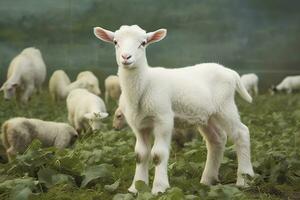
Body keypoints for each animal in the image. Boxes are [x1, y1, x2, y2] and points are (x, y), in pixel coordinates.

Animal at [95, 24, 254, 194]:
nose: (126, 57)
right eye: (115, 42)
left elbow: (158, 154)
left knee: (241, 133)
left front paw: (159, 188)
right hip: (207, 115)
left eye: (143, 43)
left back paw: (244, 180)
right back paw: (207, 180)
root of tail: (230, 72)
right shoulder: (138, 124)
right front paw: (136, 187)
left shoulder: (163, 118)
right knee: (217, 139)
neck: (145, 84)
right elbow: (140, 154)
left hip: (225, 106)